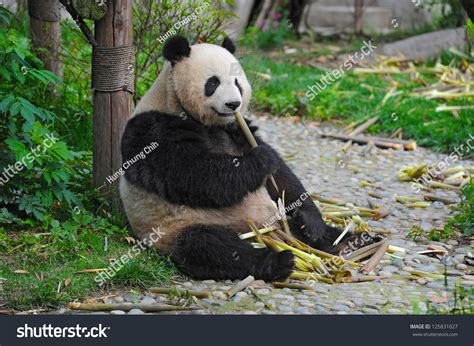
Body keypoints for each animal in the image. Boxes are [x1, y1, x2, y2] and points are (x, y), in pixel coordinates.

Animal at [119, 36, 360, 282]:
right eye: (213, 83)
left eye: (237, 83)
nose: (233, 104)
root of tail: (265, 230)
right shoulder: (153, 129)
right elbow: (196, 175)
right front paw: (262, 159)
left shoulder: (238, 129)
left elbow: (282, 179)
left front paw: (309, 219)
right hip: (179, 227)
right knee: (210, 246)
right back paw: (277, 261)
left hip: (275, 220)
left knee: (311, 231)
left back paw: (348, 240)